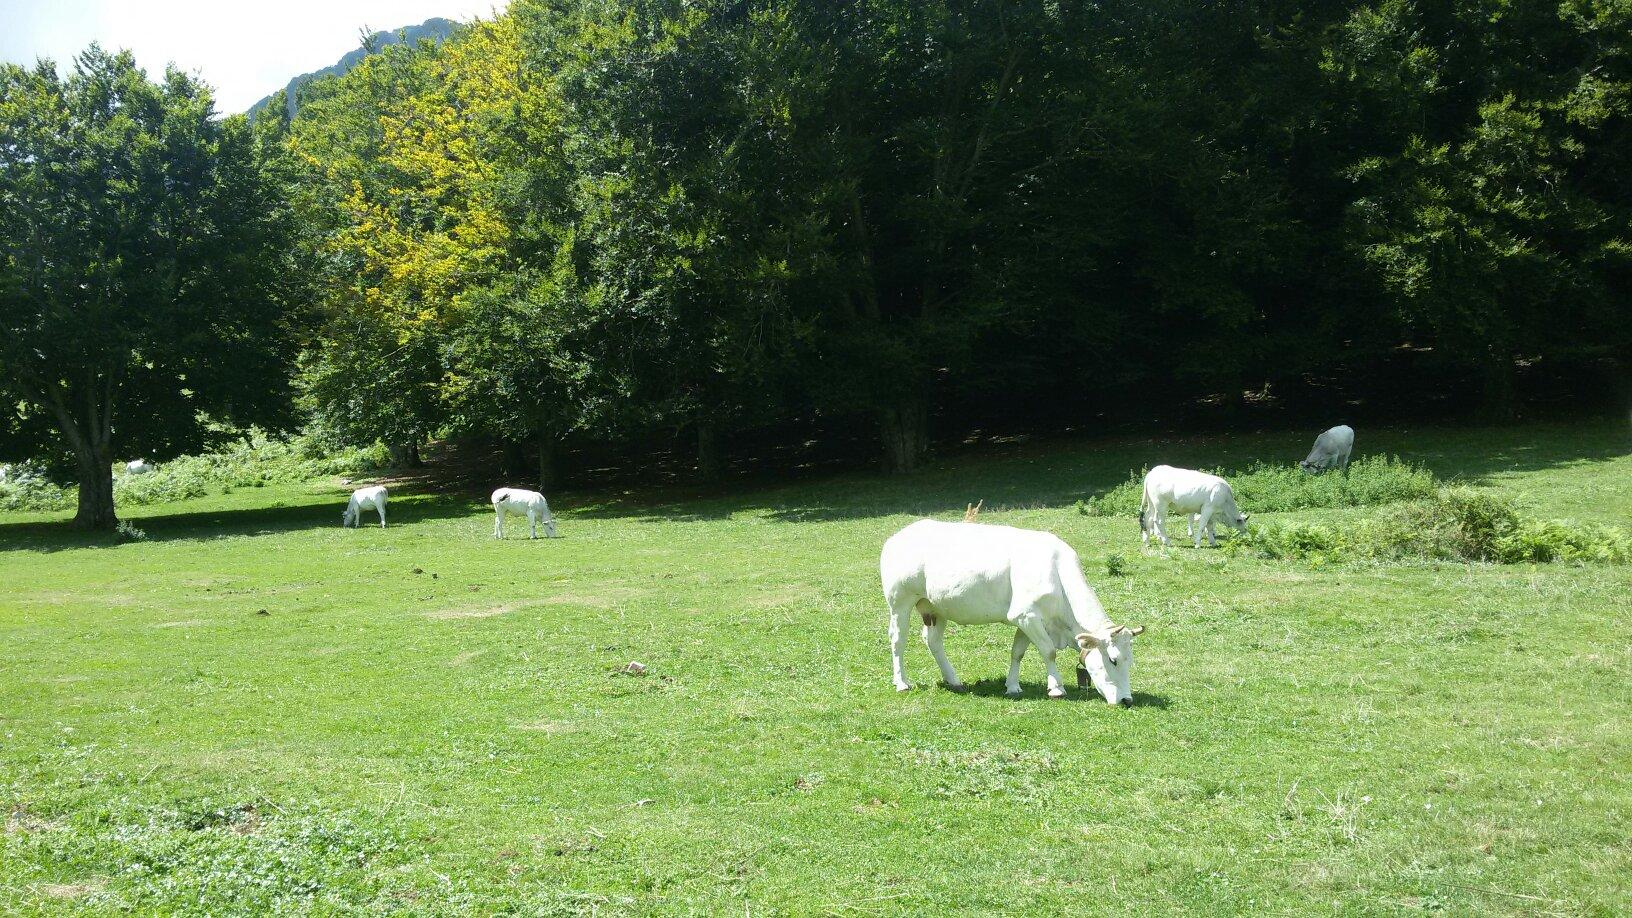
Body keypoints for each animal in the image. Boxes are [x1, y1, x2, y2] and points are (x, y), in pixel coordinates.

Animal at [881, 519, 1148, 702]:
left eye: (1130, 660)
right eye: (1113, 659)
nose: (1126, 700)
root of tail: (898, 536)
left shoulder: (1026, 619)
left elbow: (1017, 652)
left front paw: (1012, 686)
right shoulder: (1026, 616)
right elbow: (1049, 652)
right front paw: (1056, 688)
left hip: (936, 608)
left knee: (932, 640)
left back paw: (953, 679)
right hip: (900, 602)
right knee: (897, 641)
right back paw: (902, 682)